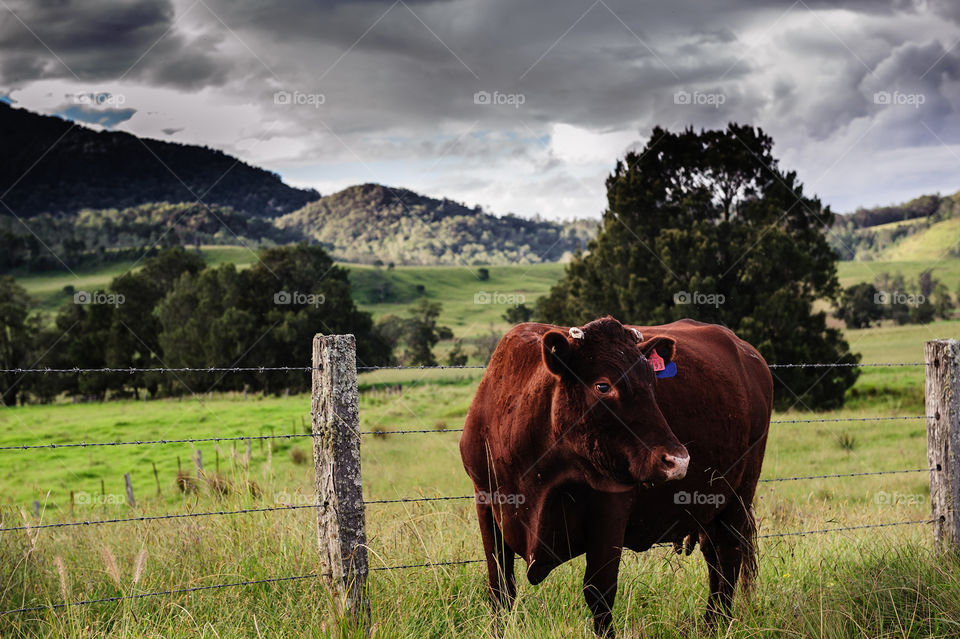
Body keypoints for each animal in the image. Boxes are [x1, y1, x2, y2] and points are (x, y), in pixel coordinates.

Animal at [459, 316, 772, 636]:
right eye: (602, 385)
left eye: (652, 383)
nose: (678, 460)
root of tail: (747, 351)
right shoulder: (486, 501)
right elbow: (500, 586)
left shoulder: (610, 507)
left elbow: (599, 591)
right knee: (714, 557)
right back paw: (712, 623)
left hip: (739, 495)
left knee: (729, 554)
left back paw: (717, 623)